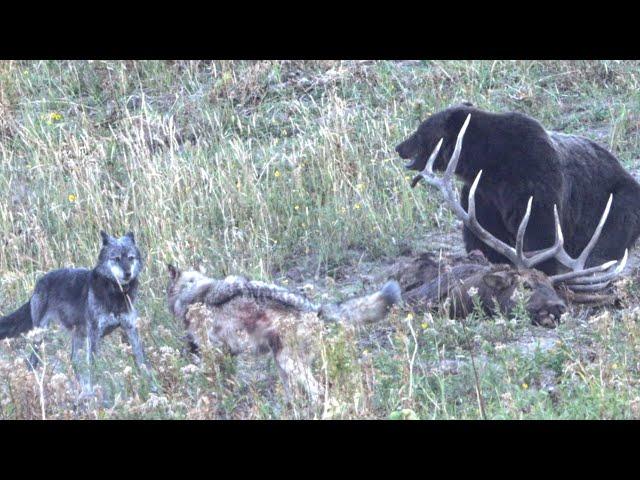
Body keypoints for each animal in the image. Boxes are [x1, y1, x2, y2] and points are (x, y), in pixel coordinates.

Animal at [0, 232, 148, 394]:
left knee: (73, 362)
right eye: (116, 258)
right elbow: (94, 366)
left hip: (77, 338)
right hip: (41, 337)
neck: (116, 294)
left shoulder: (130, 329)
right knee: (32, 361)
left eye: (130, 258)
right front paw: (97, 389)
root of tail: (39, 282)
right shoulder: (94, 334)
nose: (127, 273)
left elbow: (141, 361)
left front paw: (150, 385)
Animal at [165, 264, 400, 404]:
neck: (191, 292)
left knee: (318, 392)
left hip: (288, 363)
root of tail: (314, 309)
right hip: (283, 363)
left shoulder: (213, 351)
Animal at [396, 103, 640, 276]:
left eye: (420, 130)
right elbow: (483, 240)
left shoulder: (537, 189)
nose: (399, 146)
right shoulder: (482, 198)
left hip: (617, 196)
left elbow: (540, 238)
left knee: (612, 231)